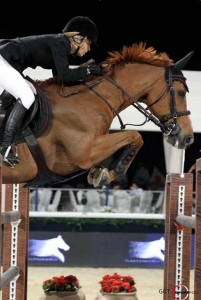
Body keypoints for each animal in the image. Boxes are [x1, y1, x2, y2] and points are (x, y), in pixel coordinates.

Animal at [0, 43, 195, 186]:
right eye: (181, 93)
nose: (188, 138)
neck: (89, 99)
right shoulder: (85, 153)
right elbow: (136, 135)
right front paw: (113, 171)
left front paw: (101, 172)